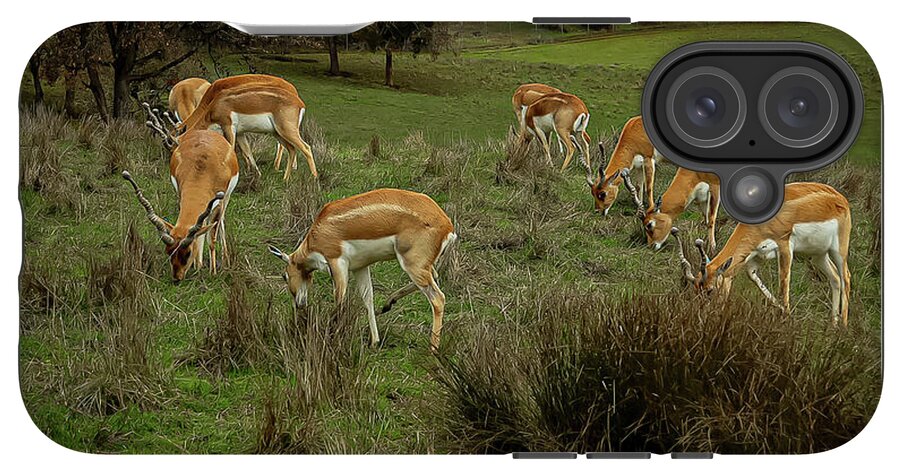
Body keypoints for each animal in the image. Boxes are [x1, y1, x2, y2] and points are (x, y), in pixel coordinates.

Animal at [122, 129, 239, 282]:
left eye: (187, 253)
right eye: (169, 251)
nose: (177, 278)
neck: (202, 170)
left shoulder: (219, 202)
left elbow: (211, 238)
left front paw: (212, 272)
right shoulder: (180, 194)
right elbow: (198, 233)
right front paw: (198, 267)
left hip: (226, 199)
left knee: (219, 223)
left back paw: (225, 259)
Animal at [148, 74, 316, 181]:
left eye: (174, 149)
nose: (173, 167)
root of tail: (299, 101)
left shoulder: (229, 126)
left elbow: (231, 149)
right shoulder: (240, 133)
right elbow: (247, 151)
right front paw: (256, 174)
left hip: (285, 130)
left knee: (305, 147)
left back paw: (313, 179)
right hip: (277, 132)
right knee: (291, 148)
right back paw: (286, 178)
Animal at [267, 188, 457, 351]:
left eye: (284, 276)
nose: (299, 304)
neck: (318, 232)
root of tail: (447, 226)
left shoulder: (337, 263)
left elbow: (340, 300)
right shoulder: (360, 267)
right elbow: (367, 299)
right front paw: (374, 341)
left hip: (412, 264)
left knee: (438, 298)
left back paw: (433, 348)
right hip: (421, 266)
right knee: (434, 277)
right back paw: (388, 304)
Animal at [670, 182, 852, 326]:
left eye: (710, 290)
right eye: (695, 289)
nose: (701, 316)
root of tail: (840, 198)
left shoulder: (784, 246)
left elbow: (783, 283)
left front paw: (786, 317)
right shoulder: (755, 256)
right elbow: (754, 279)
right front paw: (782, 311)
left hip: (838, 250)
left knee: (846, 277)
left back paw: (843, 326)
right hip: (818, 255)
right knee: (835, 278)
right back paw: (833, 324)